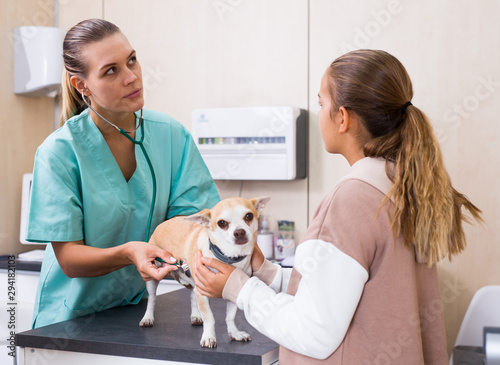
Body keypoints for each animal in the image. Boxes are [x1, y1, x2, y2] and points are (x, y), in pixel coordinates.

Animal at [139, 196, 270, 346]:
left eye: (249, 216)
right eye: (222, 223)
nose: (239, 232)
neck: (229, 257)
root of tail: (163, 223)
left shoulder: (232, 291)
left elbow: (230, 316)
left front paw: (235, 333)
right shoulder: (202, 294)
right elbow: (209, 317)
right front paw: (209, 336)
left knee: (192, 295)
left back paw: (196, 315)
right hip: (152, 277)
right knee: (152, 298)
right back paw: (148, 317)